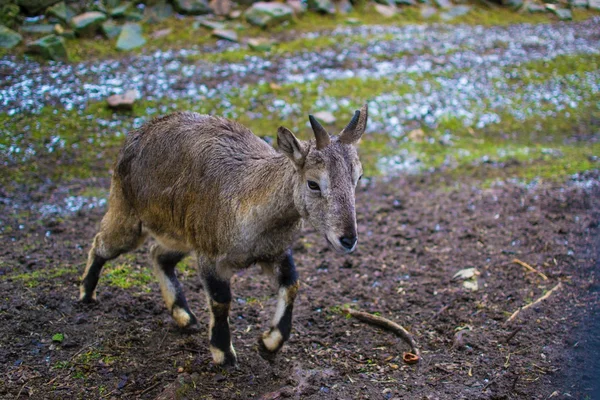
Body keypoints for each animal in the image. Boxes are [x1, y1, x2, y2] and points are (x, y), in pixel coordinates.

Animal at [79, 104, 368, 366]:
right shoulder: (210, 255)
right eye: (313, 183)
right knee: (102, 243)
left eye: (358, 177)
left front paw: (268, 342)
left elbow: (292, 285)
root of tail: (136, 135)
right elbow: (220, 300)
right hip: (128, 215)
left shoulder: (275, 252)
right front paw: (223, 354)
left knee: (158, 255)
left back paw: (184, 316)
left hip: (182, 235)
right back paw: (86, 295)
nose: (348, 238)